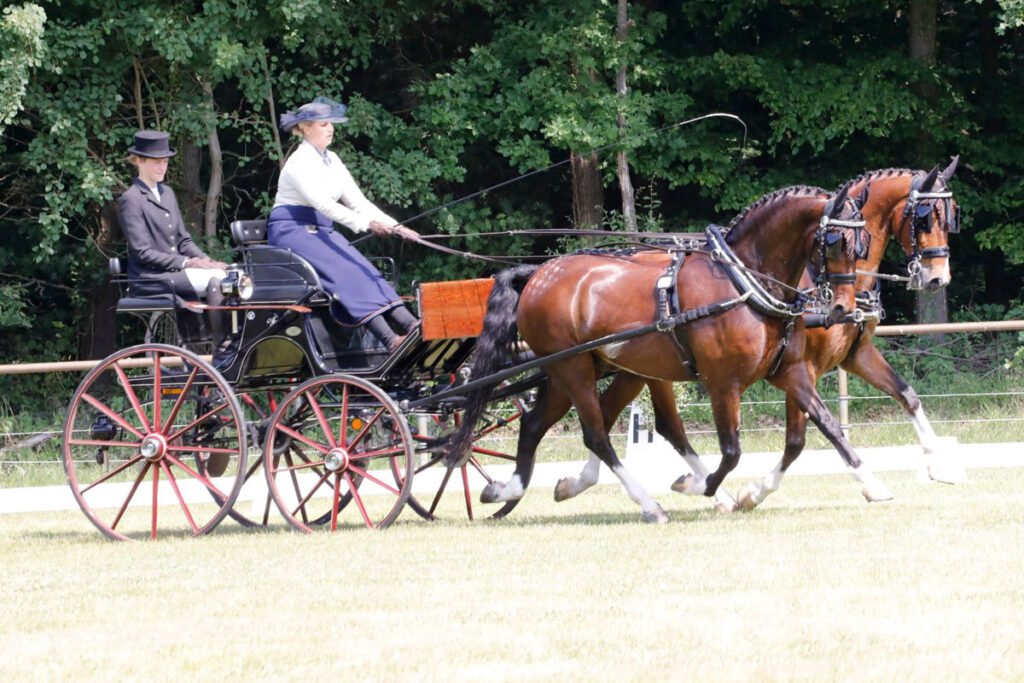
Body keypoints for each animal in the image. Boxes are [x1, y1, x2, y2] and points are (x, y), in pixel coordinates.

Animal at [446, 184, 872, 520]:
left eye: (863, 244)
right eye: (836, 242)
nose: (842, 308)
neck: (743, 281)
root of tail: (537, 274)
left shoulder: (790, 371)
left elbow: (825, 428)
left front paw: (871, 484)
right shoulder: (722, 382)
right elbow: (732, 450)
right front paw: (697, 486)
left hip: (576, 371)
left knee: (538, 425)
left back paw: (510, 490)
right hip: (574, 369)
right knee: (597, 434)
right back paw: (650, 505)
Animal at [552, 158, 958, 511]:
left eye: (950, 216)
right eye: (926, 217)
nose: (938, 278)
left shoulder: (853, 355)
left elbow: (906, 395)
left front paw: (940, 464)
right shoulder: (805, 366)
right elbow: (801, 438)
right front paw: (754, 493)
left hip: (636, 368)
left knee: (610, 417)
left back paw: (580, 483)